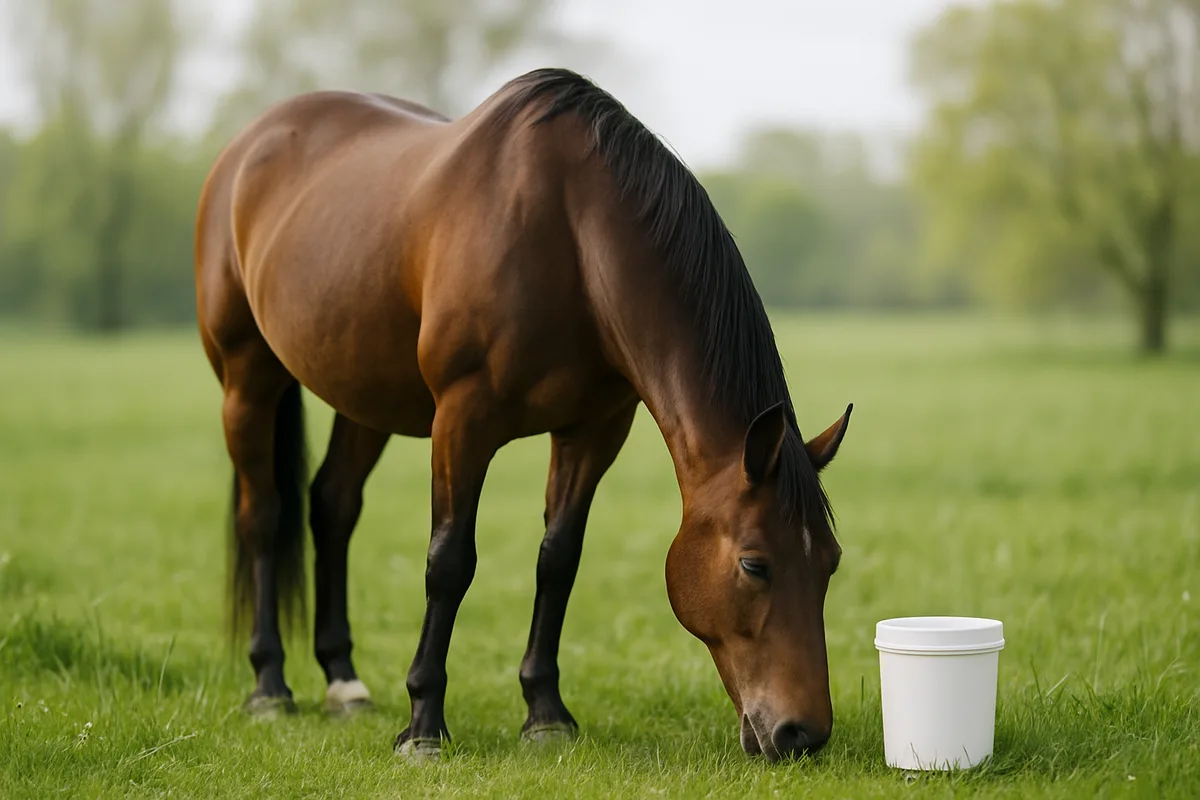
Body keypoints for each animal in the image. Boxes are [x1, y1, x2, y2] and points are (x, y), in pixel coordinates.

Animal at [194, 67, 852, 763]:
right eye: (755, 564)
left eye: (830, 562)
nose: (803, 734)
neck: (570, 235)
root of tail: (248, 145)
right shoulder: (462, 421)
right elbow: (449, 562)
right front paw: (423, 723)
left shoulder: (593, 430)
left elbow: (558, 560)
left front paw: (545, 713)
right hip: (247, 380)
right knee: (263, 515)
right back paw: (270, 685)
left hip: (363, 396)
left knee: (332, 507)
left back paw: (344, 682)